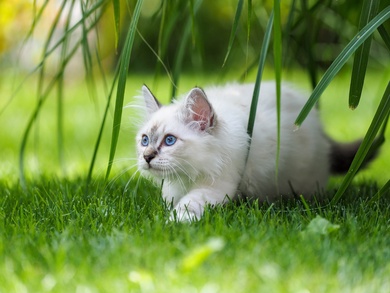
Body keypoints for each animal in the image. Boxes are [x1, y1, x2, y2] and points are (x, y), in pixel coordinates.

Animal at [136, 81, 360, 220]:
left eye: (169, 141)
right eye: (145, 140)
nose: (147, 157)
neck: (187, 176)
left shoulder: (217, 185)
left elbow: (188, 204)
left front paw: (172, 223)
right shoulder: (173, 188)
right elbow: (169, 198)